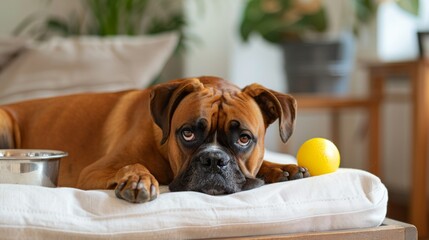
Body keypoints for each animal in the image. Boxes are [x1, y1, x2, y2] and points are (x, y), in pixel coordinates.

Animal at [0, 76, 308, 202]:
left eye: (244, 139)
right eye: (187, 133)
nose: (213, 159)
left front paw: (281, 168)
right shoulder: (93, 172)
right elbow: (133, 165)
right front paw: (138, 179)